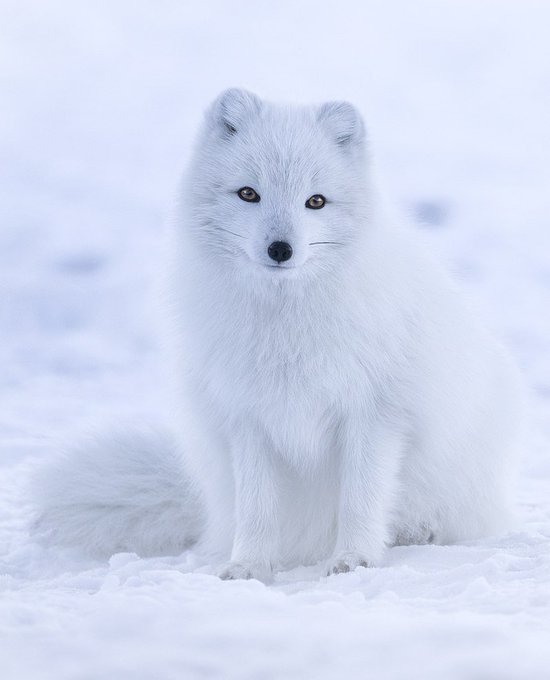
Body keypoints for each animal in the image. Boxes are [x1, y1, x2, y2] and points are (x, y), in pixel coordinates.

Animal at [33, 89, 522, 581]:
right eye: (249, 193)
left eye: (316, 201)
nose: (281, 249)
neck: (285, 323)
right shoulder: (247, 417)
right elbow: (257, 508)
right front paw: (248, 566)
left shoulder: (374, 413)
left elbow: (361, 499)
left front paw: (354, 559)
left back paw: (418, 532)